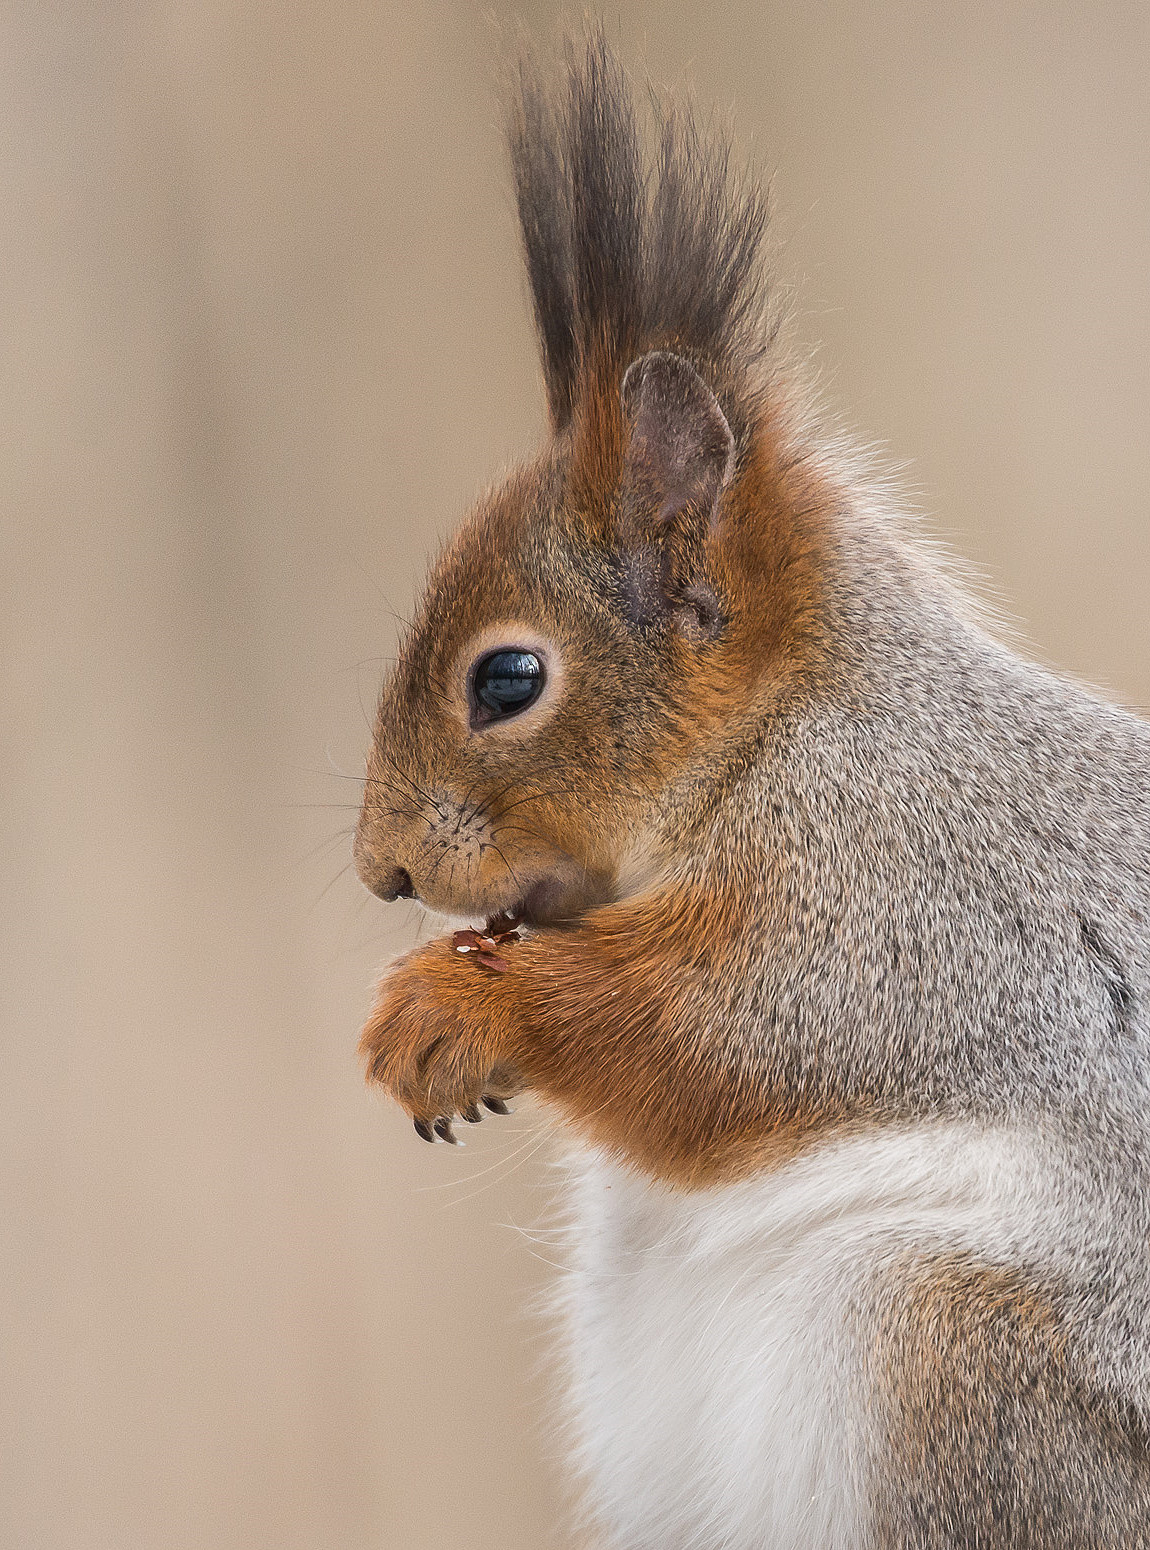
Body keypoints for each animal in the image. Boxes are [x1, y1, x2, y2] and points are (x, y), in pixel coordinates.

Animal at [353, 31, 1150, 1550]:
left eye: (506, 679)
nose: (383, 870)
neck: (787, 729)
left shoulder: (901, 889)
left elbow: (722, 1033)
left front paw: (446, 1012)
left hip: (959, 1368)